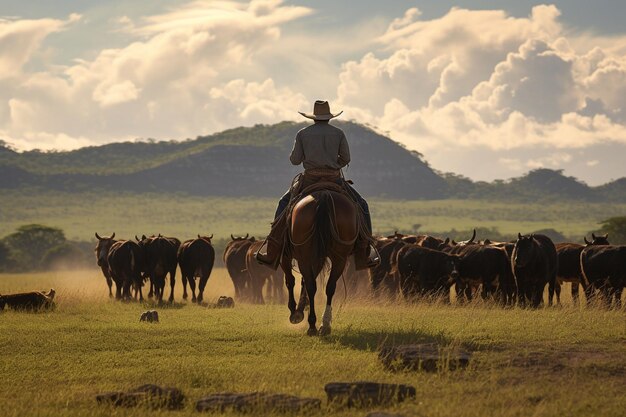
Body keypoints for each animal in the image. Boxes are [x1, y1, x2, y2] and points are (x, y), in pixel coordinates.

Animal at [280, 190, 358, 336]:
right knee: (329, 287)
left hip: (304, 257)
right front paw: (301, 307)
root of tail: (324, 195)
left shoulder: (287, 256)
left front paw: (295, 311)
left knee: (310, 286)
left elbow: (291, 281)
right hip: (339, 258)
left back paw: (311, 324)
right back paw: (324, 324)